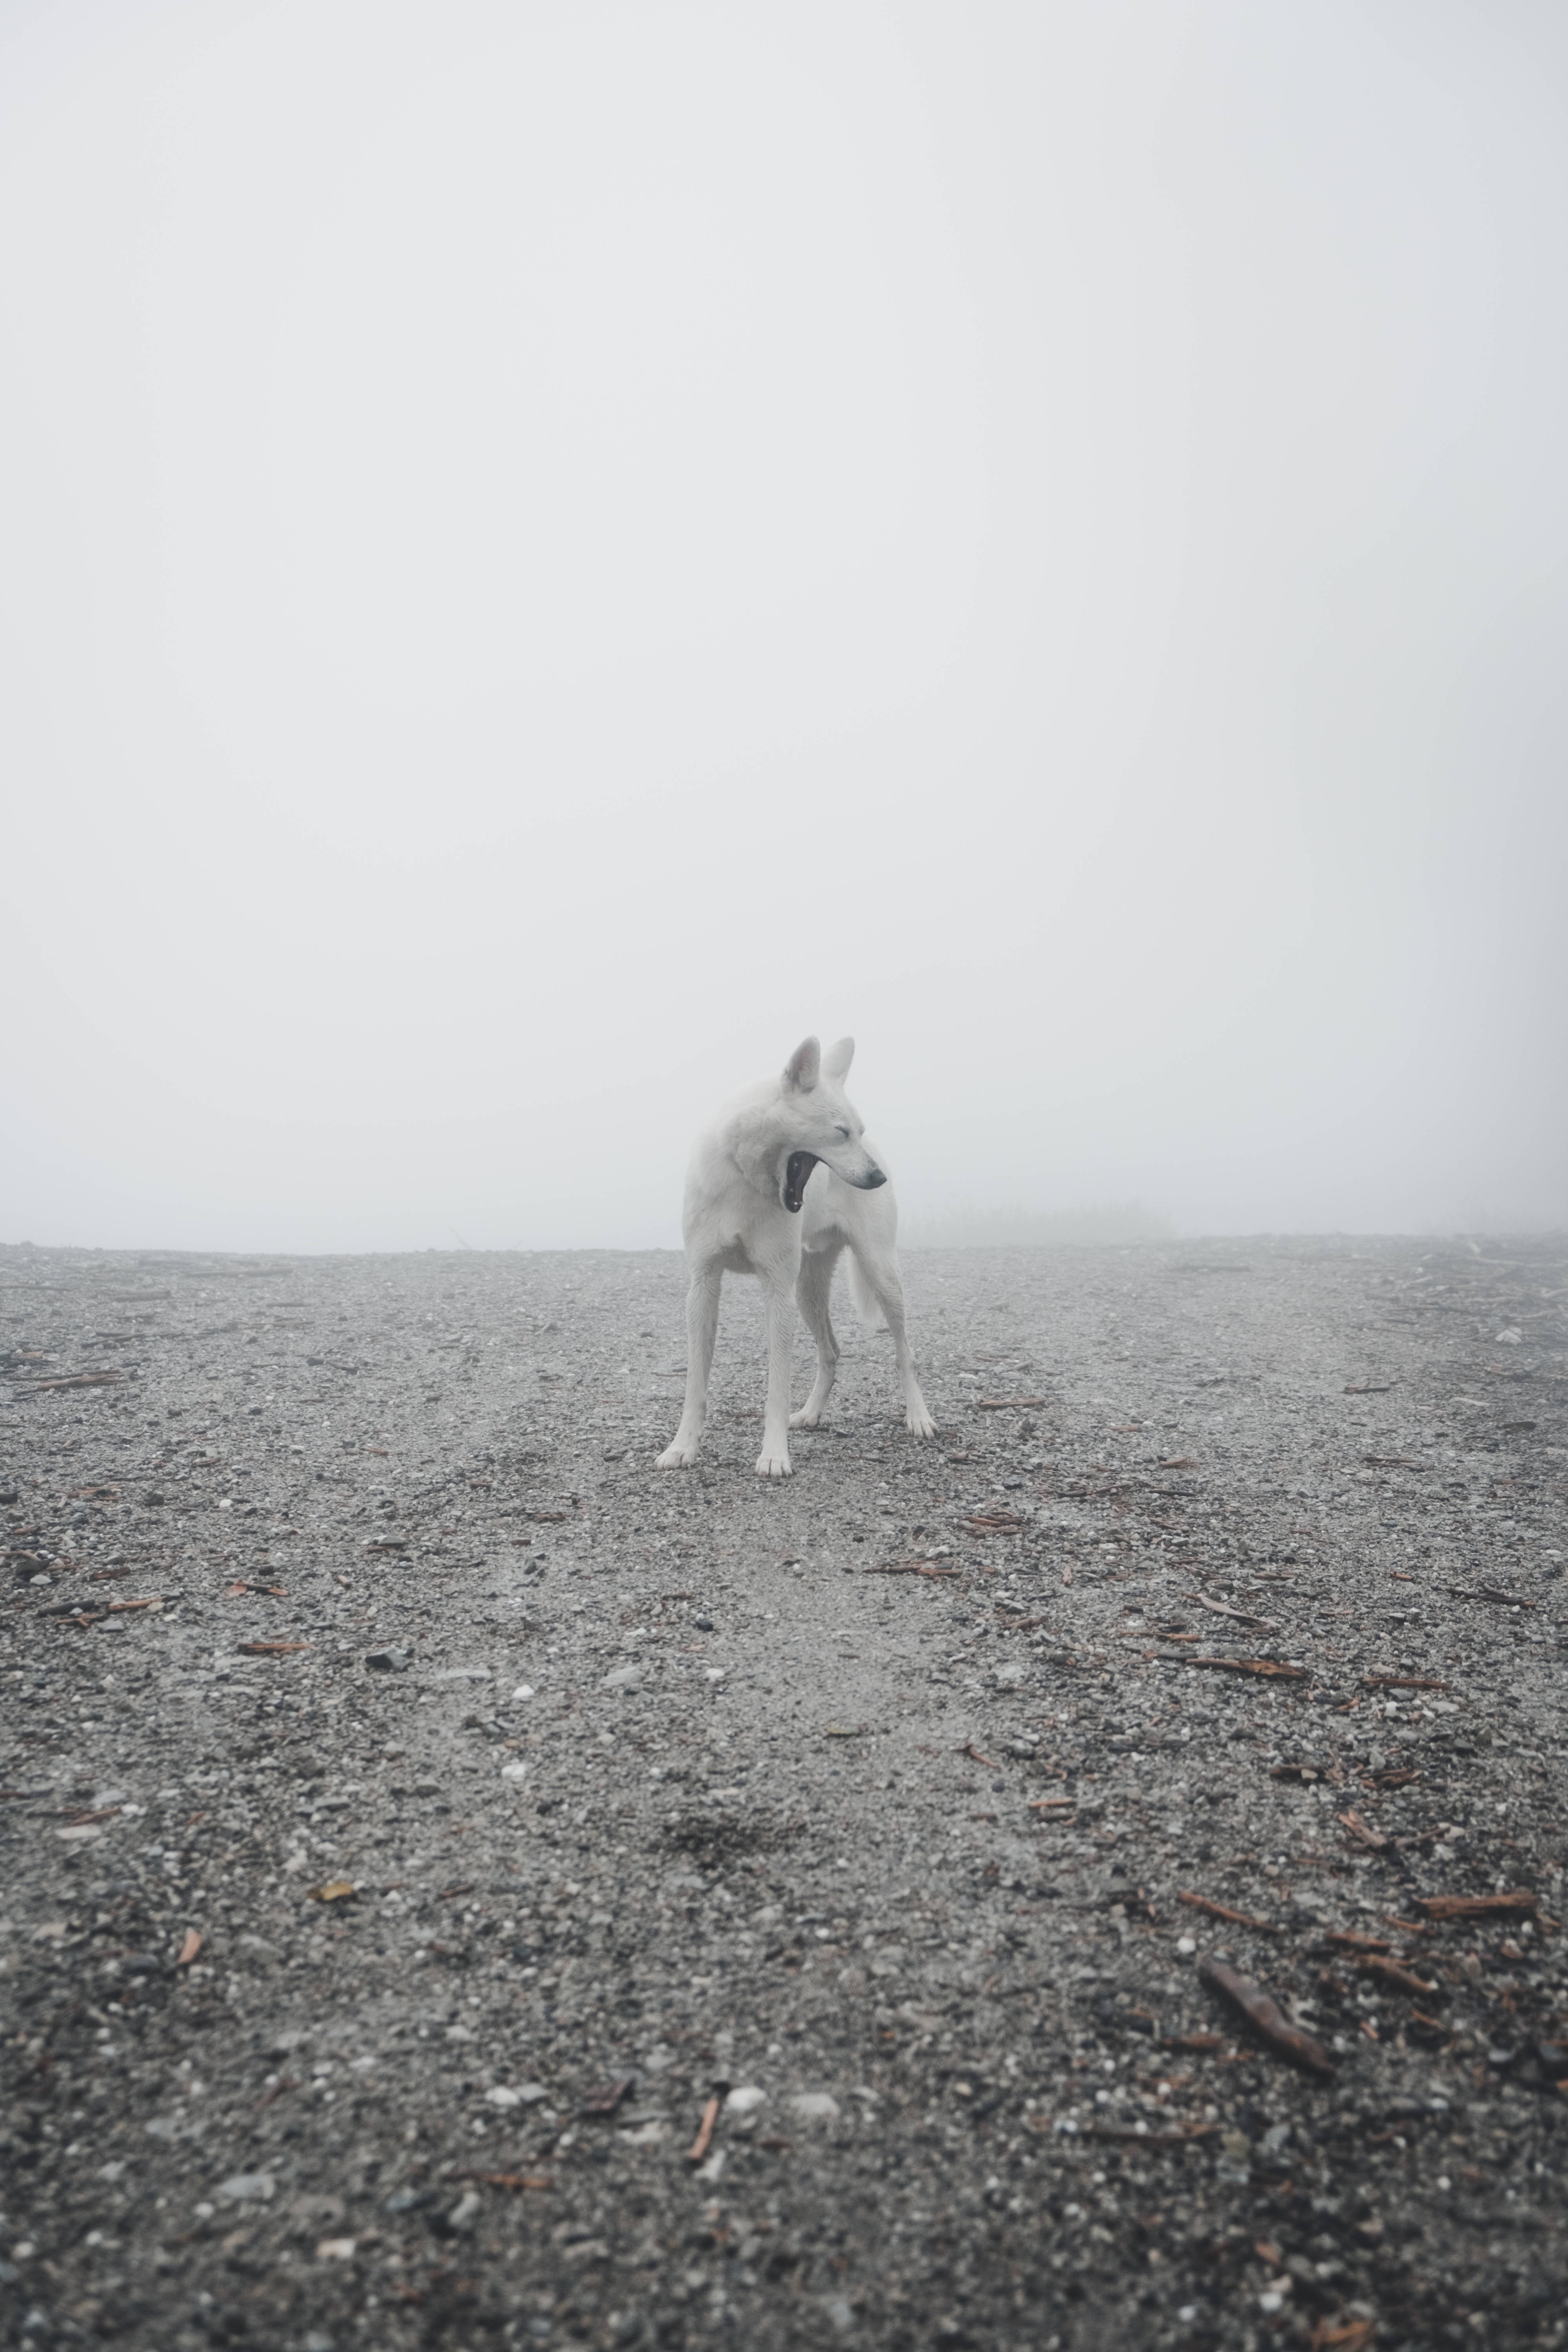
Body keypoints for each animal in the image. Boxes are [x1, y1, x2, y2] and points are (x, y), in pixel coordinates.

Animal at [656, 1035, 935, 1478]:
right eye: (841, 1133)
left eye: (858, 1132)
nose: (878, 1178)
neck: (744, 1178)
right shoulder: (703, 1286)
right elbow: (695, 1384)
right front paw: (683, 1447)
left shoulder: (777, 1291)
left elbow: (777, 1386)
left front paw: (774, 1455)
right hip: (807, 1292)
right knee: (832, 1352)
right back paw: (810, 1414)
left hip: (880, 1273)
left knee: (904, 1353)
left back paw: (919, 1416)